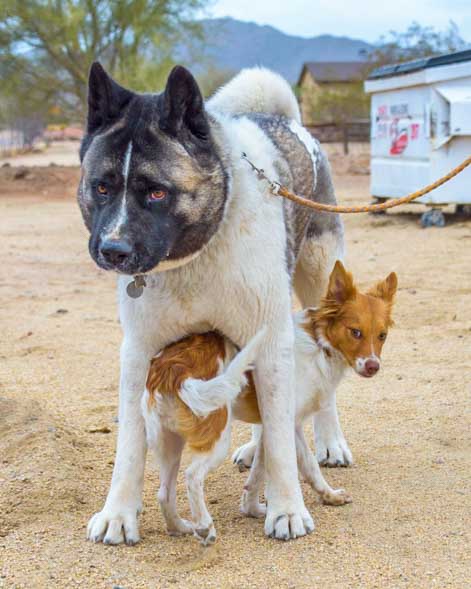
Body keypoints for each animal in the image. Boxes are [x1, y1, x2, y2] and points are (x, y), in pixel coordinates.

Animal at [78, 64, 350, 544]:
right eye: (103, 187)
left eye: (157, 193)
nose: (112, 250)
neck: (196, 258)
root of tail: (282, 119)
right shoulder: (140, 353)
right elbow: (129, 443)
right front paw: (118, 513)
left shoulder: (272, 344)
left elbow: (282, 441)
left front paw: (286, 509)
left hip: (319, 278)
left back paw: (329, 440)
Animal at [141, 262, 398, 544]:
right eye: (355, 332)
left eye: (382, 335)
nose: (373, 366)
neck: (319, 345)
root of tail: (172, 369)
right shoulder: (284, 423)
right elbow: (280, 467)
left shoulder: (280, 427)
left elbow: (280, 470)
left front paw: (322, 496)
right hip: (216, 438)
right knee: (192, 476)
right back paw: (205, 526)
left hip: (168, 444)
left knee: (164, 493)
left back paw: (179, 527)